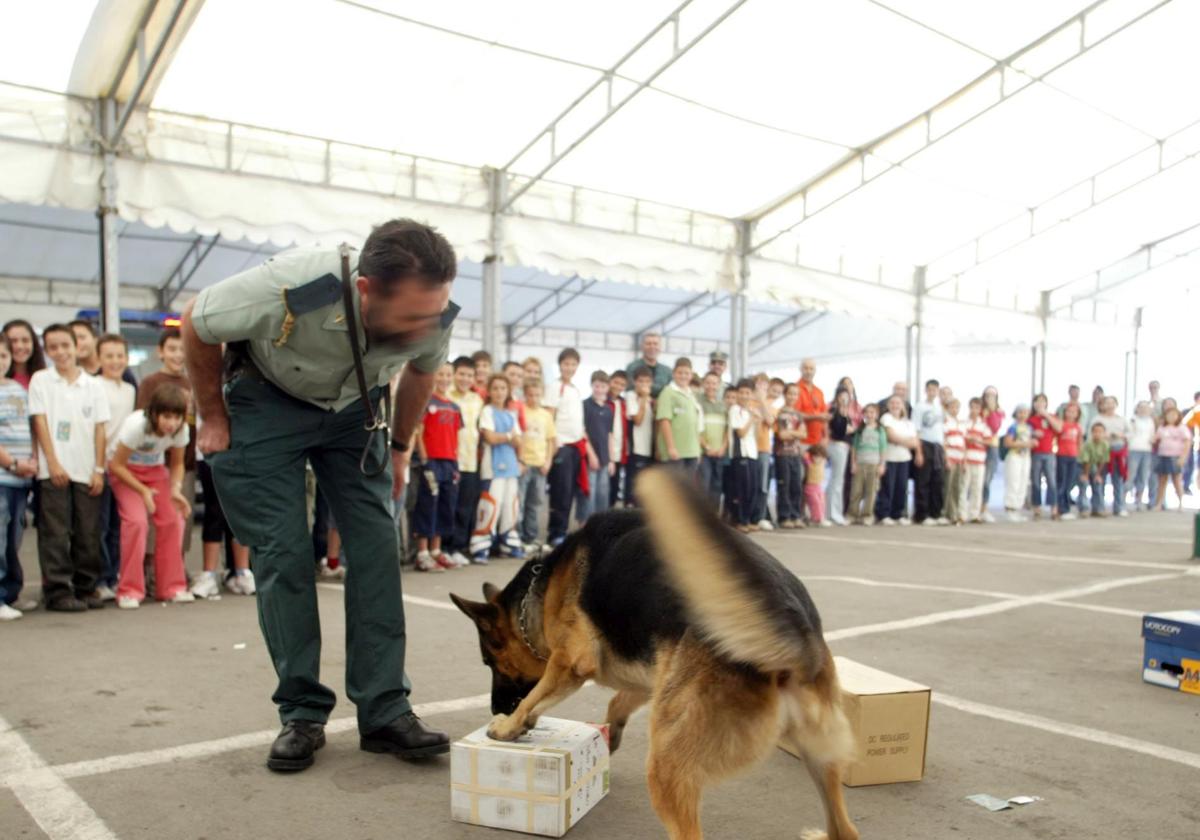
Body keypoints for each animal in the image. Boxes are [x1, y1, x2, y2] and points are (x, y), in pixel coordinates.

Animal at [451, 470, 854, 835]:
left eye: (490, 662)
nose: (494, 708)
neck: (542, 588)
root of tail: (794, 635)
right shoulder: (655, 674)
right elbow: (617, 701)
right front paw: (609, 732)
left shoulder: (568, 662)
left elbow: (534, 696)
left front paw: (510, 724)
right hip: (817, 757)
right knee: (844, 830)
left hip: (666, 767)